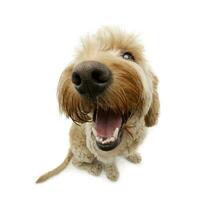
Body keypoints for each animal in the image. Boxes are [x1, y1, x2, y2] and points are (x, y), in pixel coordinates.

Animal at [36, 27, 160, 183]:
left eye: (128, 56)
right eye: (82, 55)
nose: (86, 75)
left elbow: (130, 151)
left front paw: (133, 155)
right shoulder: (98, 151)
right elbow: (109, 162)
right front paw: (112, 173)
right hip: (84, 152)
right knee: (76, 162)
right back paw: (93, 168)